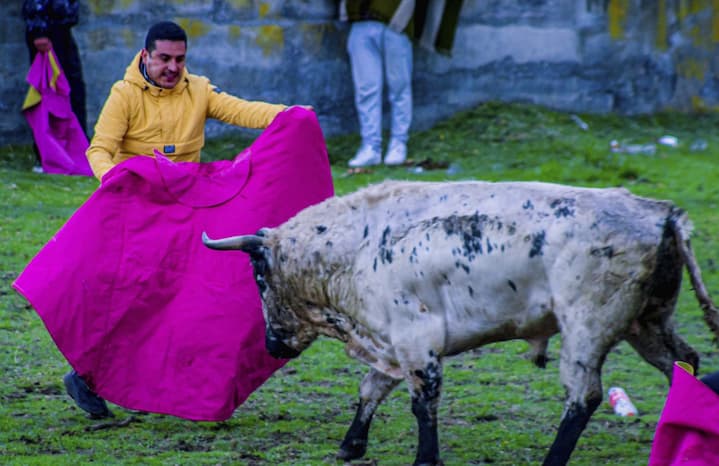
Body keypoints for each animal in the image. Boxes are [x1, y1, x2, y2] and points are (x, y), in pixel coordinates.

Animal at [200, 179, 719, 466]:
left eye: (259, 275)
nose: (273, 344)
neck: (359, 245)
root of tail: (662, 214)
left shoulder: (416, 338)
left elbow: (421, 401)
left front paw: (425, 457)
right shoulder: (394, 341)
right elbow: (371, 389)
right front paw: (351, 445)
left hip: (586, 329)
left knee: (584, 396)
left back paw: (554, 459)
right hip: (648, 324)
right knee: (684, 364)